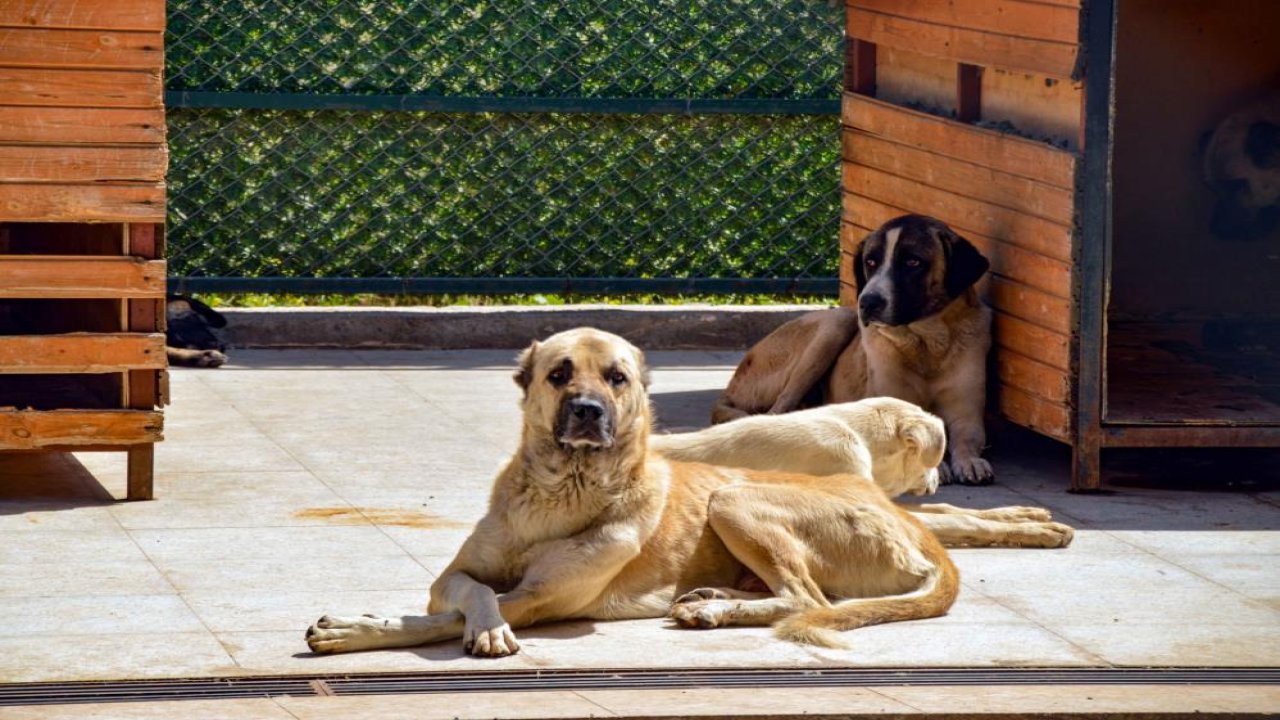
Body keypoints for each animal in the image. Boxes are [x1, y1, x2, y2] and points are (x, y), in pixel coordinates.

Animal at [304, 327, 957, 653]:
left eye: (617, 377)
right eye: (559, 373)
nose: (589, 411)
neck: (561, 494)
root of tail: (912, 522)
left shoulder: (540, 601)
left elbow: (434, 621)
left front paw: (357, 631)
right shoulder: (451, 577)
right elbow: (470, 594)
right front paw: (474, 622)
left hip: (734, 499)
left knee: (806, 599)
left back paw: (714, 609)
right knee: (803, 595)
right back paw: (711, 599)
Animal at [650, 397, 1070, 548]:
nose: (938, 480)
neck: (858, 437)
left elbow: (957, 511)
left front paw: (1024, 514)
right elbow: (966, 521)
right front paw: (1039, 532)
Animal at [716, 212, 993, 481]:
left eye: (913, 262)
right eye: (870, 262)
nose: (867, 302)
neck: (926, 345)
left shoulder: (966, 415)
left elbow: (967, 439)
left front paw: (969, 461)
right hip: (836, 324)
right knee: (777, 412)